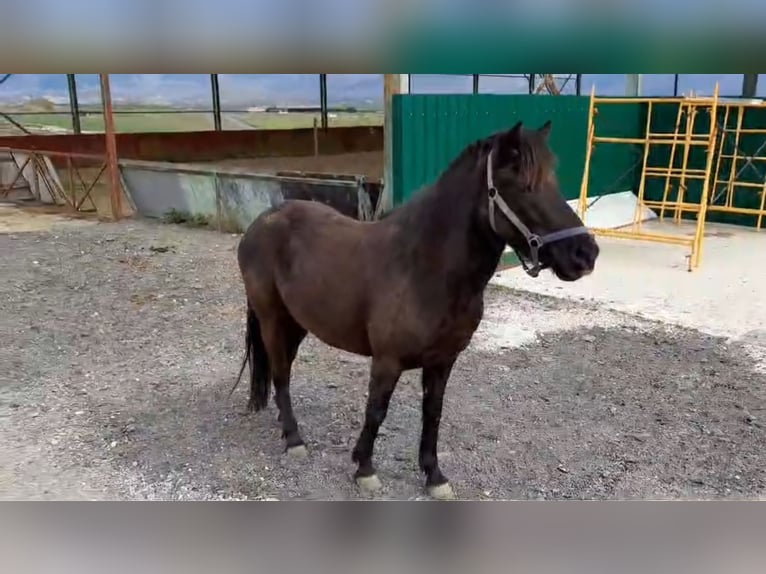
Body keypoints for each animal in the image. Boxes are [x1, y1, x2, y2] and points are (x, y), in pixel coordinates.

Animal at [232, 120, 600, 500]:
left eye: (553, 181)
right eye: (522, 186)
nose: (585, 254)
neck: (425, 268)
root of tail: (262, 221)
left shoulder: (442, 361)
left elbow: (432, 415)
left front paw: (434, 475)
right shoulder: (387, 361)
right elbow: (376, 412)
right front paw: (364, 468)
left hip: (296, 322)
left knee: (283, 371)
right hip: (272, 319)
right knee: (280, 373)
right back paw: (294, 439)